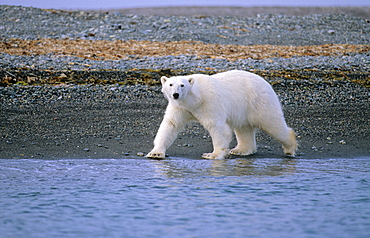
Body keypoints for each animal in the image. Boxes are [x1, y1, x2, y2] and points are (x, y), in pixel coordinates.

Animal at [145, 70, 298, 160]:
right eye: (170, 84)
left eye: (182, 85)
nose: (175, 94)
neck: (194, 100)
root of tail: (266, 82)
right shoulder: (180, 107)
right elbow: (170, 125)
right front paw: (155, 153)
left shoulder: (208, 104)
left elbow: (217, 127)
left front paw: (212, 154)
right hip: (243, 109)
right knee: (243, 128)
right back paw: (240, 150)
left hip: (259, 101)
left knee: (272, 123)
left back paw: (289, 148)